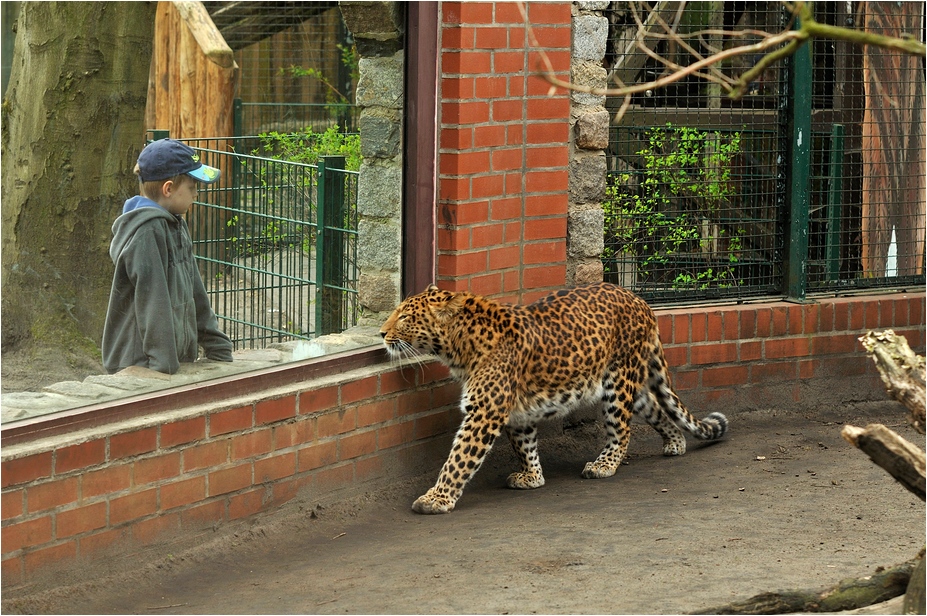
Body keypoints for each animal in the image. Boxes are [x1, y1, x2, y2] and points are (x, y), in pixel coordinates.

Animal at [379, 281, 728, 514]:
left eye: (405, 317)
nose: (381, 334)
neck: (458, 347)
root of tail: (640, 300)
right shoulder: (516, 414)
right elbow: (525, 446)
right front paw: (533, 477)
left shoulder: (485, 413)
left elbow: (458, 459)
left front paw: (437, 498)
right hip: (632, 383)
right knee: (656, 407)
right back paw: (675, 443)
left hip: (618, 382)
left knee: (621, 431)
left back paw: (604, 465)